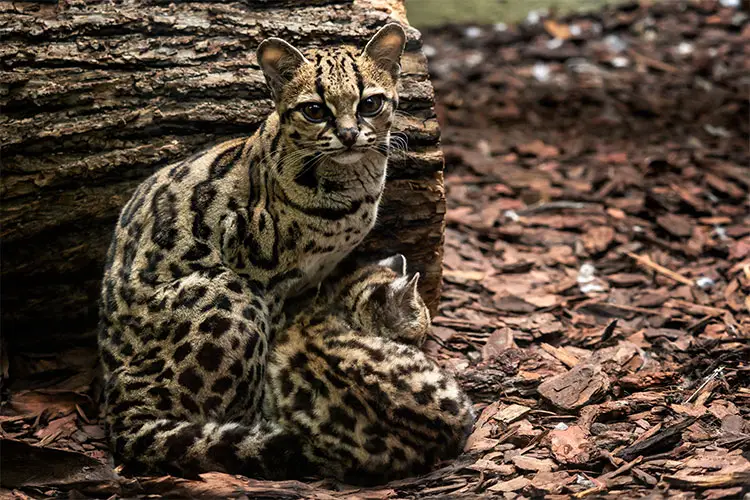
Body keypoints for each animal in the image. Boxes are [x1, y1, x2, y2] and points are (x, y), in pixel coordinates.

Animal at [99, 25, 408, 478]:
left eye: (370, 103)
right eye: (314, 111)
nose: (349, 134)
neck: (353, 186)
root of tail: (119, 402)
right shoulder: (260, 271)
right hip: (230, 290)